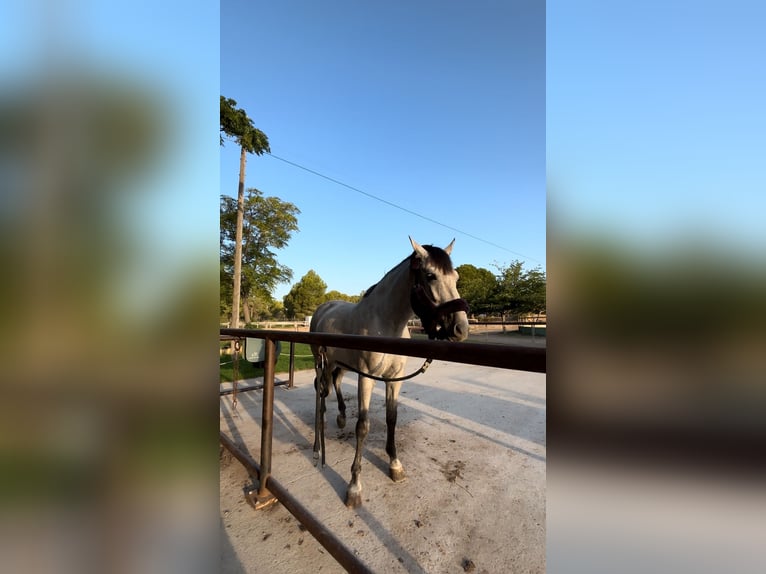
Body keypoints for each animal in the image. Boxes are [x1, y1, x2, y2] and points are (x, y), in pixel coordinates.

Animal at [310, 237, 468, 508]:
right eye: (430, 276)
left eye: (456, 277)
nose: (461, 328)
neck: (385, 325)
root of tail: (323, 309)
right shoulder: (366, 378)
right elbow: (363, 426)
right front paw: (354, 487)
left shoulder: (393, 380)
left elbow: (391, 418)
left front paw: (395, 465)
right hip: (322, 363)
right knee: (321, 398)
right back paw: (318, 447)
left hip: (338, 364)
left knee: (336, 384)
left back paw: (341, 417)